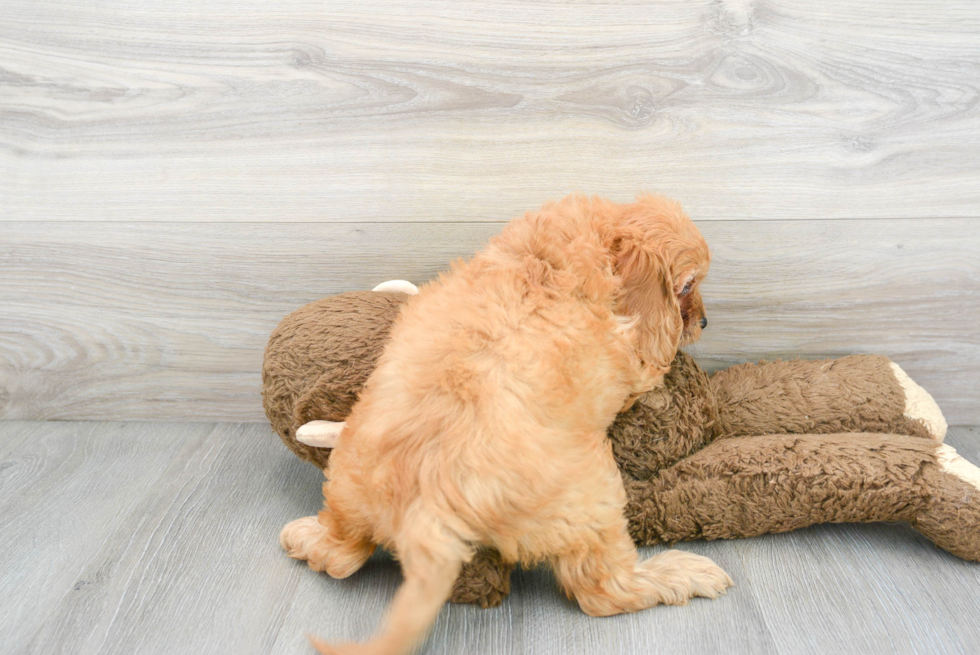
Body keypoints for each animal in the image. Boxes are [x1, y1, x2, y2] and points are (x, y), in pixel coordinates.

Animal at [280, 192, 732, 652]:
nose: (705, 321)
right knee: (604, 590)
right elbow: (657, 361)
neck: (580, 244)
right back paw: (680, 574)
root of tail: (428, 507)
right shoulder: (638, 359)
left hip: (348, 481)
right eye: (686, 286)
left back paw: (306, 535)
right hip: (594, 499)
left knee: (340, 554)